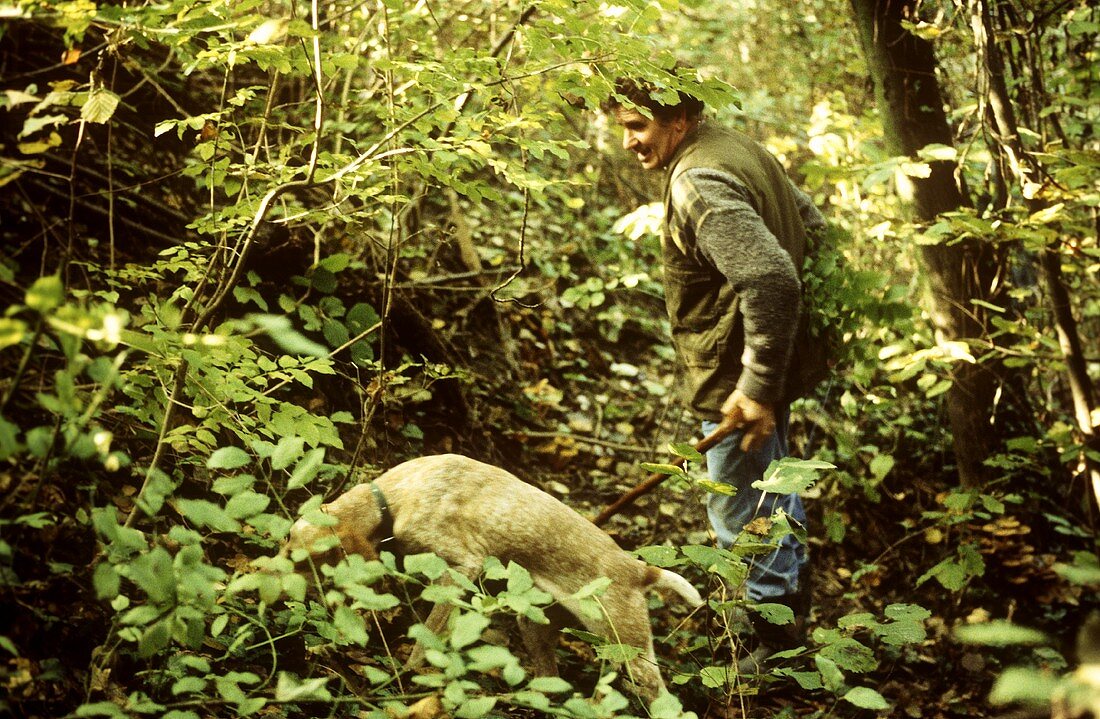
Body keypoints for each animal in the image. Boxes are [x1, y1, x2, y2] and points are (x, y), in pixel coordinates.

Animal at [279, 457, 699, 703]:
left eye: (311, 560)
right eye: (285, 544)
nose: (270, 589)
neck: (394, 495)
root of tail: (639, 569)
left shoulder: (466, 566)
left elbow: (426, 639)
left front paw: (408, 678)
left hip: (631, 652)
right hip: (535, 627)